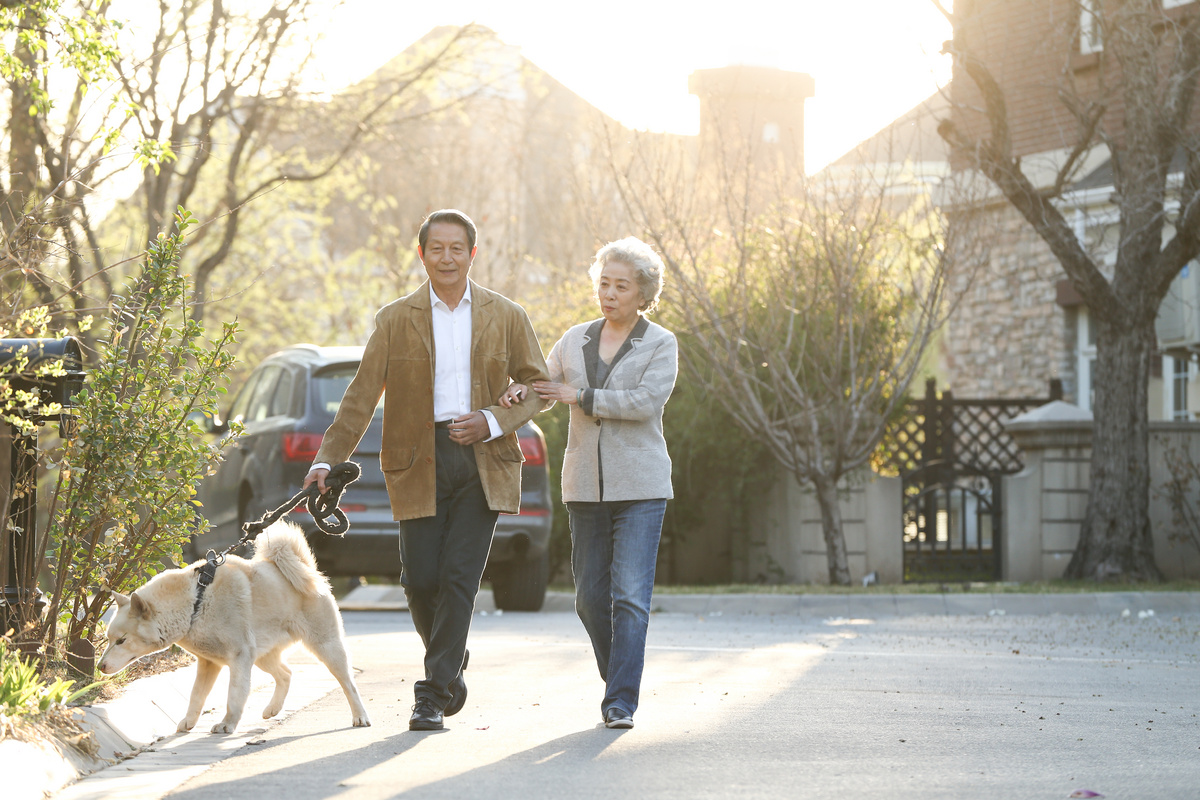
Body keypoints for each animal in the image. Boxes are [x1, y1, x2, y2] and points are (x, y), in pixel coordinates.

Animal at [99, 522, 369, 734]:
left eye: (121, 640)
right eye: (109, 639)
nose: (100, 667)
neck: (196, 601)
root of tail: (307, 569)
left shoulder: (240, 657)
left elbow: (234, 696)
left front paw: (227, 724)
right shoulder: (209, 663)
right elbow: (196, 696)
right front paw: (189, 721)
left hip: (326, 647)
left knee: (349, 684)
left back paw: (360, 716)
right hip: (262, 656)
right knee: (286, 673)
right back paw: (273, 709)